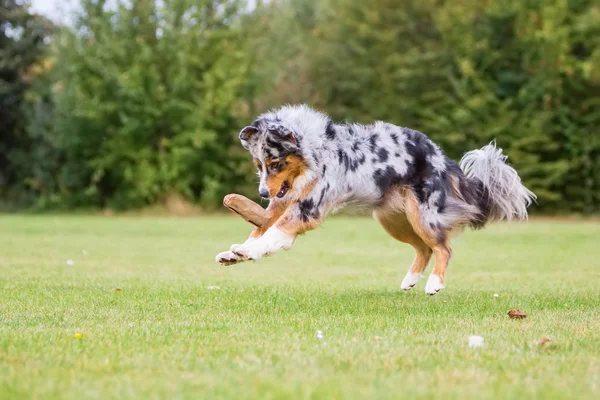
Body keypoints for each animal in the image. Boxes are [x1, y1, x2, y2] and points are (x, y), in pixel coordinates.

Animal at [216, 104, 536, 296]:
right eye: (258, 165)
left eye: (276, 163)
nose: (262, 193)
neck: (315, 152)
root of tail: (440, 154)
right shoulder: (285, 200)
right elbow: (261, 226)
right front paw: (236, 252)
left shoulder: (308, 208)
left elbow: (273, 232)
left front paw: (250, 251)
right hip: (392, 220)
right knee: (424, 249)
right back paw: (410, 280)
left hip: (424, 214)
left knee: (443, 248)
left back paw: (434, 283)